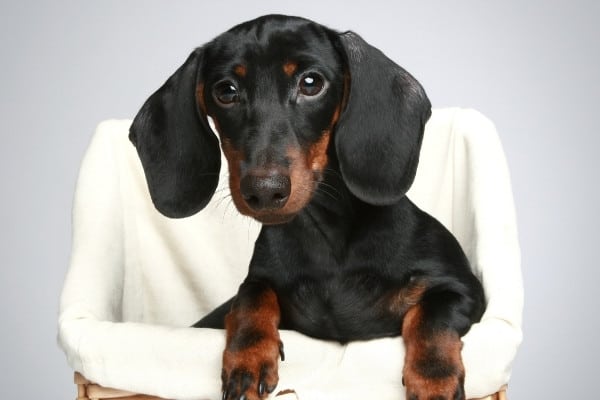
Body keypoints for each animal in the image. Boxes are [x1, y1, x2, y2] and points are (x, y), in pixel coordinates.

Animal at [129, 14, 486, 398]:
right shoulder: (256, 283)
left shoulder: (463, 289)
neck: (327, 237)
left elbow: (431, 316)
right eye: (226, 91)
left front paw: (434, 378)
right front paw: (249, 357)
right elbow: (249, 297)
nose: (264, 191)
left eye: (311, 83)